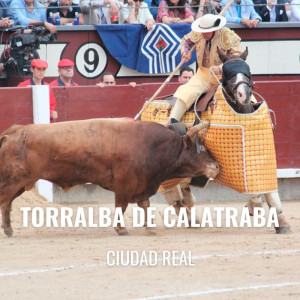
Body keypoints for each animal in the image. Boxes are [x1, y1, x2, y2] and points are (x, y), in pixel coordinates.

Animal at [0, 118, 220, 237]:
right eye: (201, 150)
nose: (217, 166)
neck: (150, 145)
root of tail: (14, 131)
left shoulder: (143, 184)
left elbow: (145, 205)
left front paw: (149, 227)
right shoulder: (125, 185)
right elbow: (121, 207)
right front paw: (121, 229)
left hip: (18, 184)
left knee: (7, 204)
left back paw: (9, 230)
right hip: (13, 180)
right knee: (4, 201)